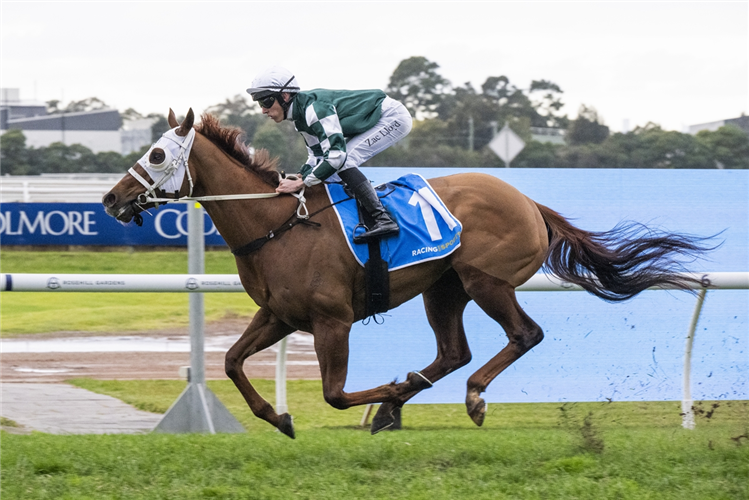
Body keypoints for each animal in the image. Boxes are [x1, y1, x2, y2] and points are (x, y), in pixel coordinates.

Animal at [102, 109, 712, 438]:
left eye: (157, 155)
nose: (111, 199)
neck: (277, 225)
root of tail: (528, 200)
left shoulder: (332, 320)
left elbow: (334, 394)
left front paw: (381, 397)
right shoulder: (279, 315)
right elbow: (230, 361)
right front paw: (279, 418)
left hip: (486, 281)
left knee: (524, 335)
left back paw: (465, 398)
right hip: (443, 290)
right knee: (453, 352)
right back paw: (408, 398)